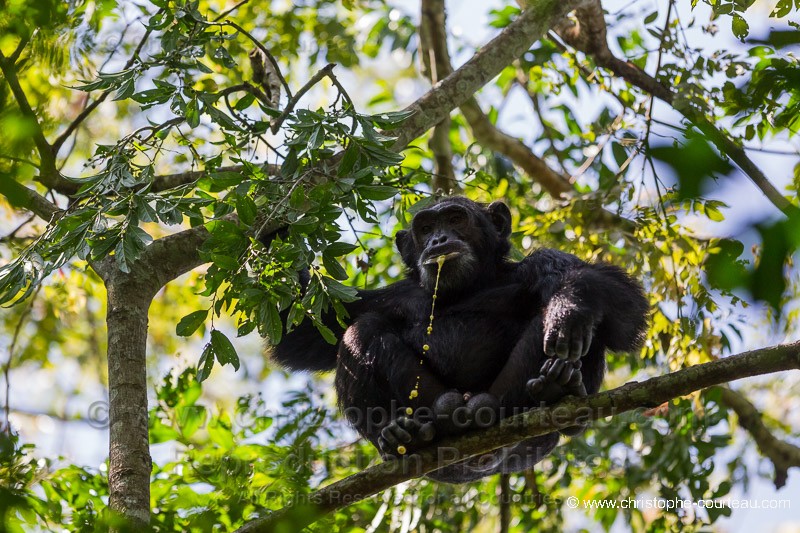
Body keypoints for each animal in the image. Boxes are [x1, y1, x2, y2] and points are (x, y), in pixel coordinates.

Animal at [270, 196, 648, 482]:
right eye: (425, 228)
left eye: (455, 219)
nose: (438, 240)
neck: (466, 287)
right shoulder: (390, 296)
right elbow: (304, 327)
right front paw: (274, 220)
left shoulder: (541, 261)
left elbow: (616, 297)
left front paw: (569, 311)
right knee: (361, 330)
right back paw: (401, 436)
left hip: (510, 410)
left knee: (586, 324)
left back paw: (559, 388)